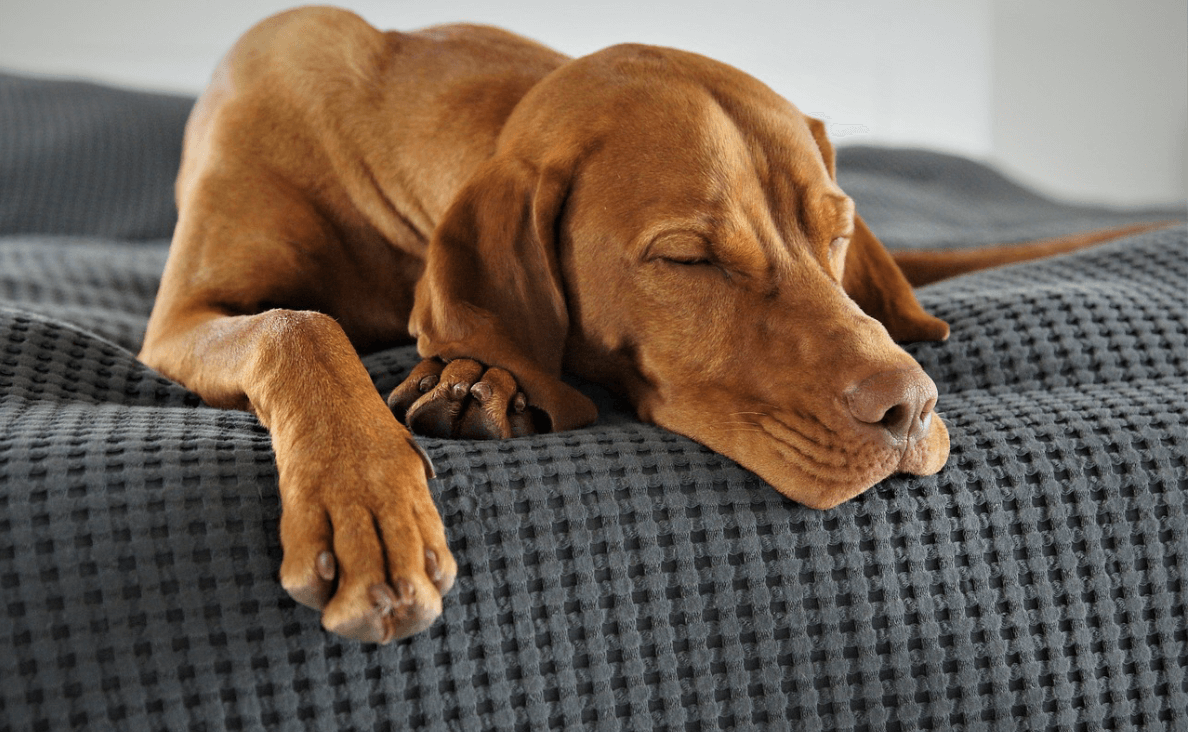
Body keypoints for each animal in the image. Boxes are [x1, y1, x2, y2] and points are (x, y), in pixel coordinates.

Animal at [136, 8, 1159, 641]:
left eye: (833, 230)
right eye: (688, 259)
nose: (911, 410)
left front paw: (475, 377)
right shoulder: (181, 319)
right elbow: (298, 324)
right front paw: (366, 506)